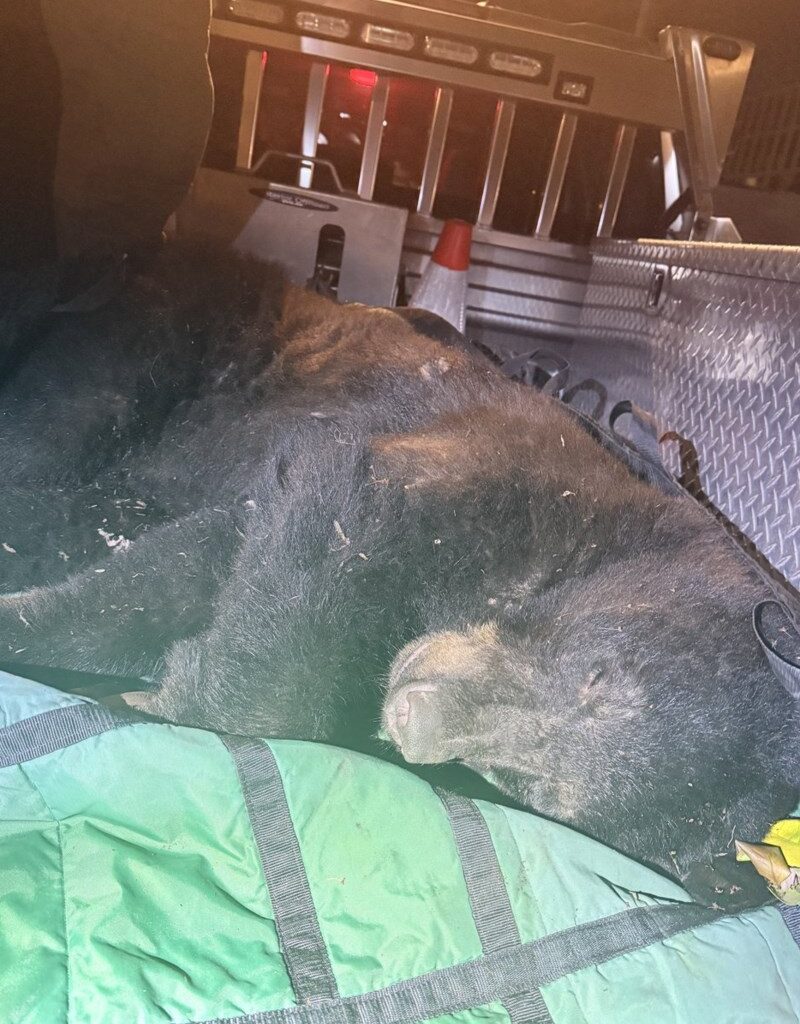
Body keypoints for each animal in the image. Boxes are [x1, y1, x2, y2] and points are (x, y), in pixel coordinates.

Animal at [0, 245, 796, 912]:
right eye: (595, 675)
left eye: (527, 786)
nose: (414, 714)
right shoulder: (460, 469)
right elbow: (336, 518)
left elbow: (206, 562)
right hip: (151, 348)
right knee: (56, 430)